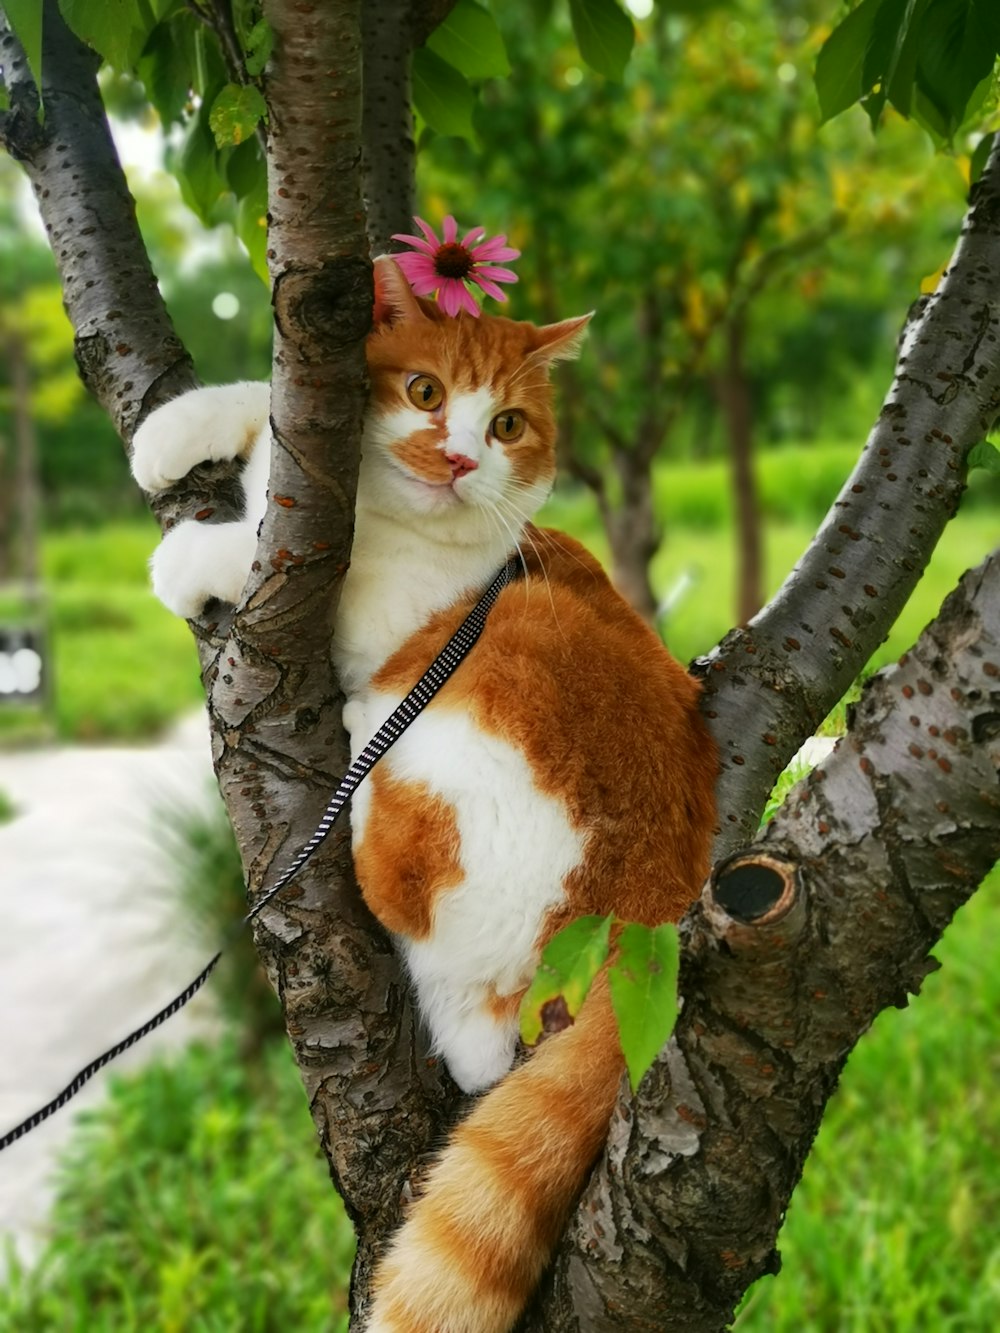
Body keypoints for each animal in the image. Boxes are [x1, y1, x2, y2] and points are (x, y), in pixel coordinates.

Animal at [131, 257, 720, 1333]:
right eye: (424, 392)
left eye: (508, 425)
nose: (455, 458)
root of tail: (662, 912)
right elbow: (260, 407)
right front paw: (176, 432)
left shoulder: (364, 610)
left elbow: (277, 558)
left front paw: (193, 556)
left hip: (447, 761)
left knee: (472, 1029)